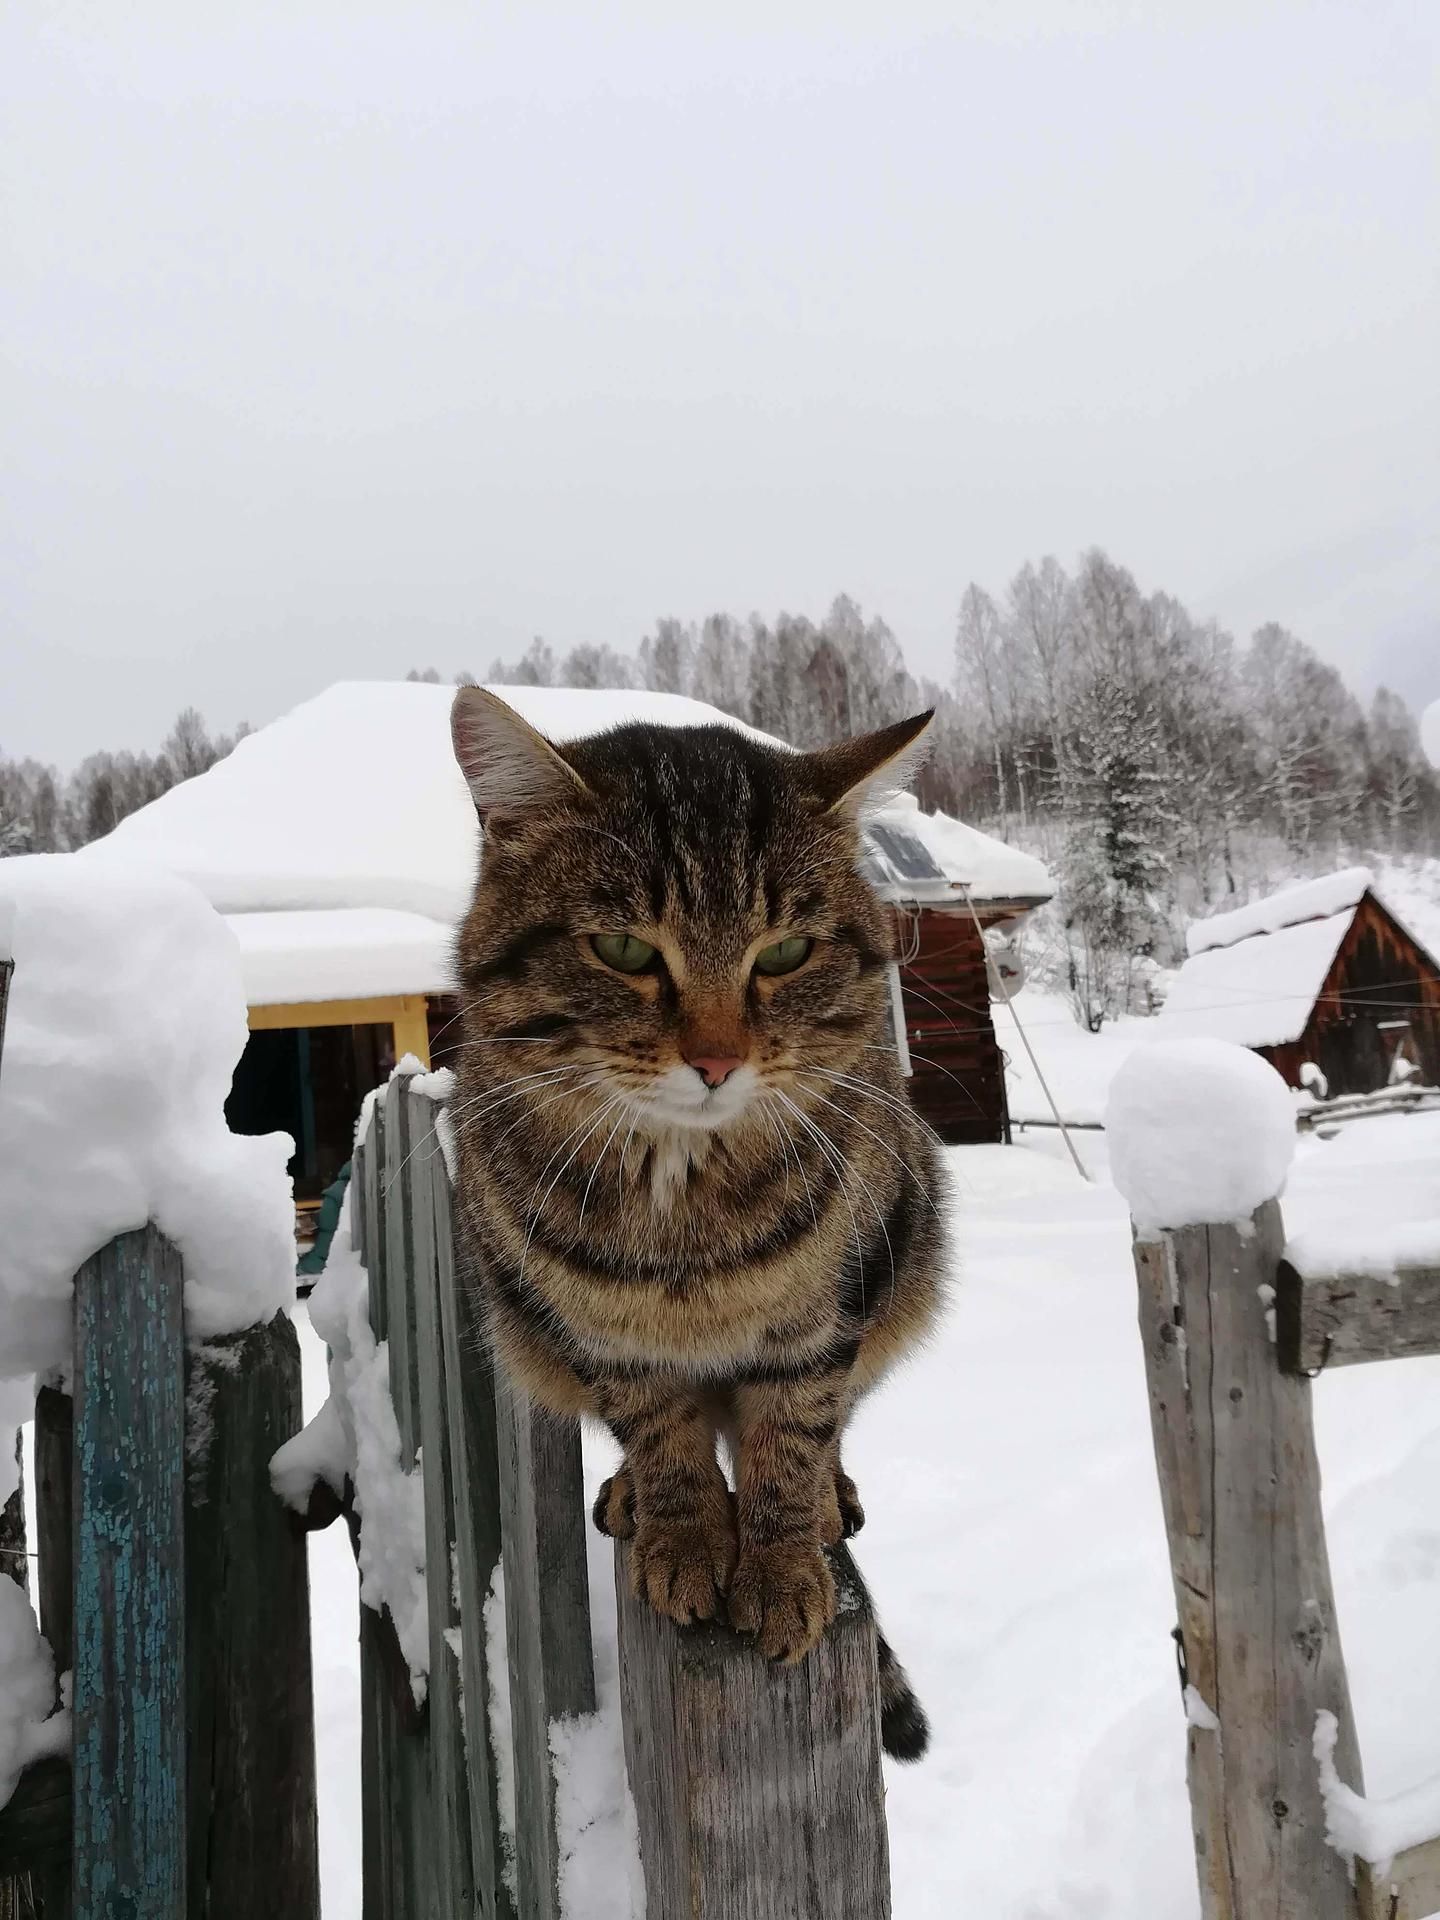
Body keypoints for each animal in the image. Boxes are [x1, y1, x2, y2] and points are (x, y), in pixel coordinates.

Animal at [449, 687, 948, 1758]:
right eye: (626, 949)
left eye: (786, 953)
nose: (717, 1061)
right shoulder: (604, 1336)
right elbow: (662, 1436)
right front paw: (681, 1535)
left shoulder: (823, 1319)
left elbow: (791, 1439)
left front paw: (780, 1564)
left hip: (909, 1266)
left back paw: (827, 1503)